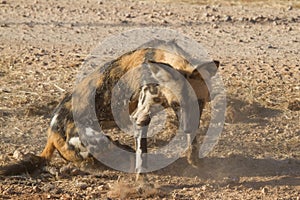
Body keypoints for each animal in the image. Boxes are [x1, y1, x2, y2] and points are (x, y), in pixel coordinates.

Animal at [0, 39, 218, 177]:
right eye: (176, 104)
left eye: (200, 103)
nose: (188, 127)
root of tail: (51, 133)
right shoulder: (141, 117)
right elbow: (141, 157)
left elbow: (193, 141)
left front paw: (194, 161)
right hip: (95, 141)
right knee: (95, 161)